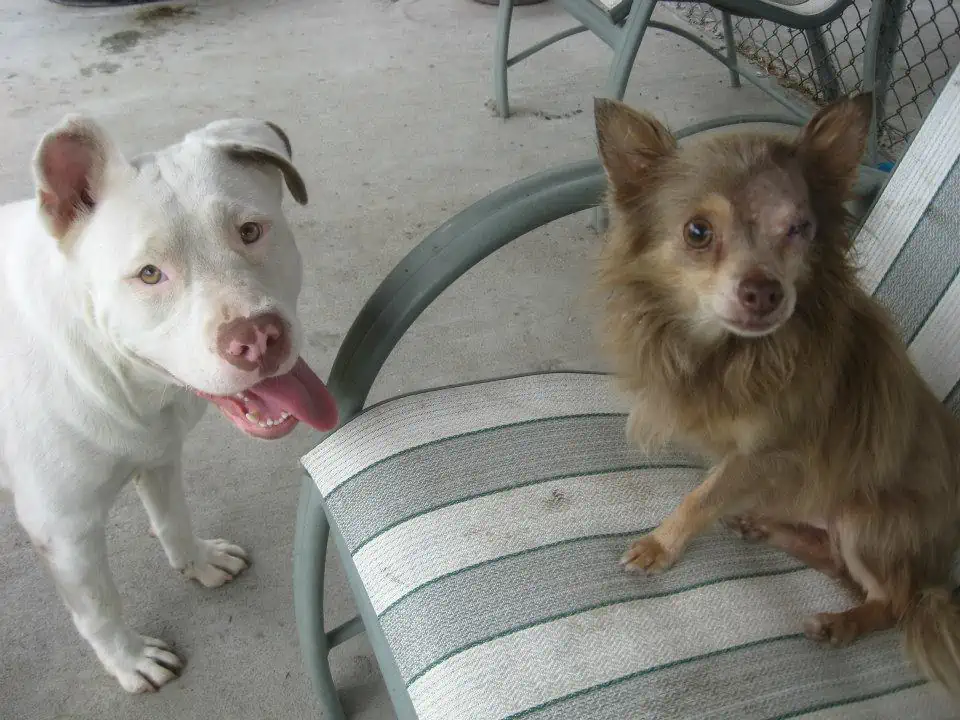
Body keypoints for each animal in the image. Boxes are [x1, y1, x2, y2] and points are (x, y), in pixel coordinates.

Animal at [0, 114, 342, 692]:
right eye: (149, 274)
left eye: (250, 231)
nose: (256, 339)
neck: (120, 377)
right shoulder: (64, 529)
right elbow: (99, 607)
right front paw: (130, 660)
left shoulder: (158, 452)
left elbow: (173, 518)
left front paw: (198, 562)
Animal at [596, 93, 960, 696]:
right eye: (698, 232)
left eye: (801, 228)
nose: (765, 290)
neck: (734, 354)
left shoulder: (766, 451)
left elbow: (701, 497)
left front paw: (661, 545)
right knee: (834, 560)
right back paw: (763, 524)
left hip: (866, 519)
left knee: (894, 601)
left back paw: (841, 624)